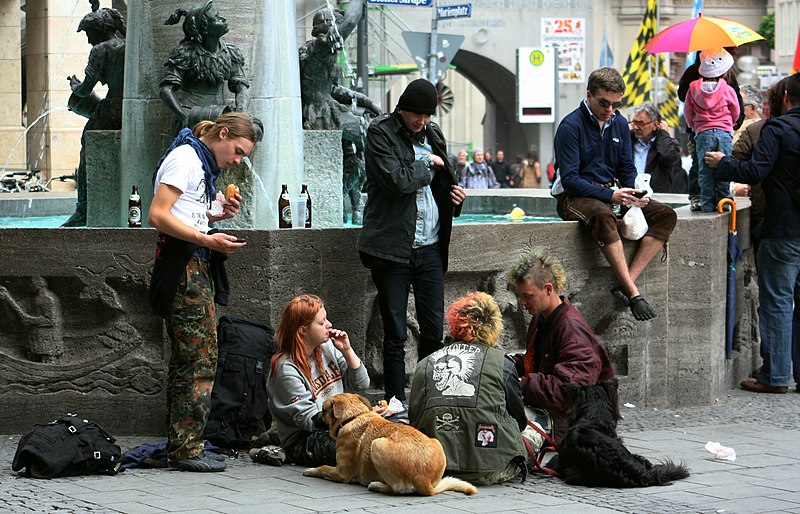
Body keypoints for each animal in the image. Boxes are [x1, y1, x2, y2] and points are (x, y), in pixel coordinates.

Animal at [300, 392, 476, 492]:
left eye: (323, 410)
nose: (311, 418)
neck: (353, 417)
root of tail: (424, 481)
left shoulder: (341, 472)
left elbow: (323, 467)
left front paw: (311, 470)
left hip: (377, 445)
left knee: (396, 488)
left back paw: (377, 485)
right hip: (436, 441)